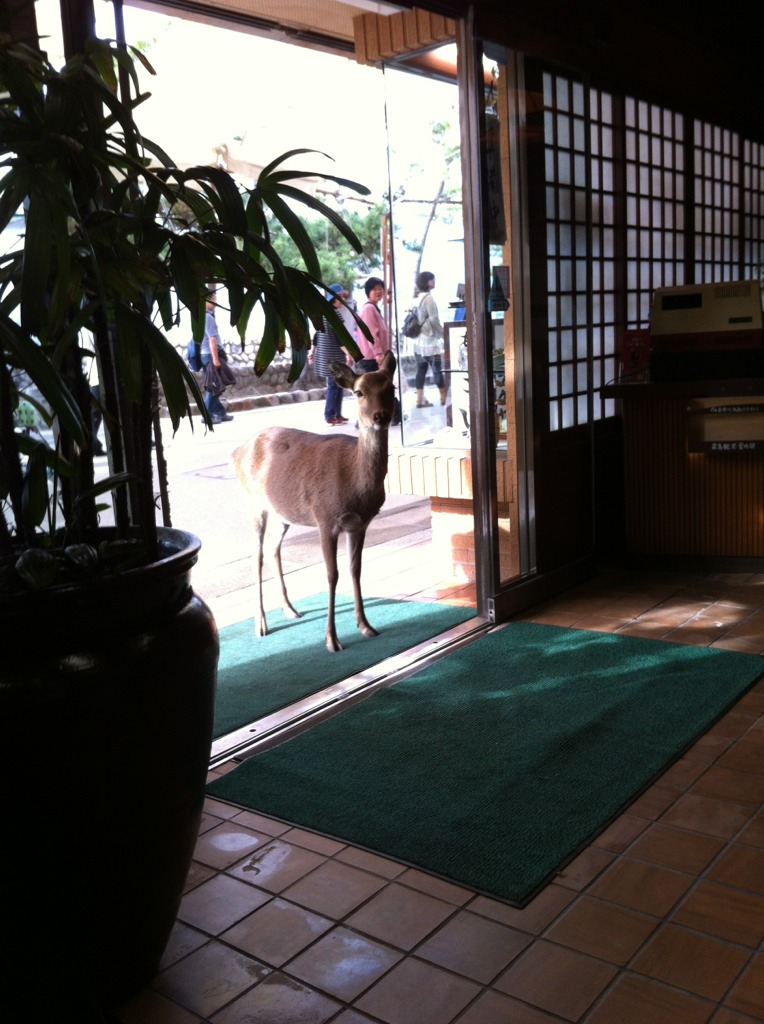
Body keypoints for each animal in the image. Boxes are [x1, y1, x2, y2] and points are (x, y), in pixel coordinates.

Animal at [232, 352, 395, 651]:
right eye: (359, 392)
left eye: (390, 388)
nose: (381, 416)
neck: (355, 481)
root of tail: (236, 451)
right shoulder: (325, 518)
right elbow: (332, 575)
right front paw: (332, 640)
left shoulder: (360, 524)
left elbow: (355, 570)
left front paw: (366, 626)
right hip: (254, 505)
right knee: (256, 555)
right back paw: (261, 624)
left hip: (282, 513)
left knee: (273, 548)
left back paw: (290, 609)